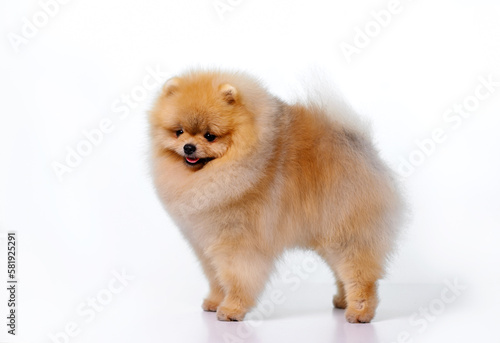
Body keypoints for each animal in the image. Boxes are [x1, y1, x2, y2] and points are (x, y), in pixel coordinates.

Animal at [148, 70, 402, 326]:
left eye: (210, 136)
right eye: (179, 132)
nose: (189, 147)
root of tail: (360, 146)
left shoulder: (238, 242)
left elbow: (237, 277)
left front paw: (231, 309)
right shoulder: (204, 241)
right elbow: (215, 276)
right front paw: (214, 301)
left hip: (347, 233)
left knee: (359, 273)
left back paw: (360, 311)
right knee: (341, 270)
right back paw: (342, 301)